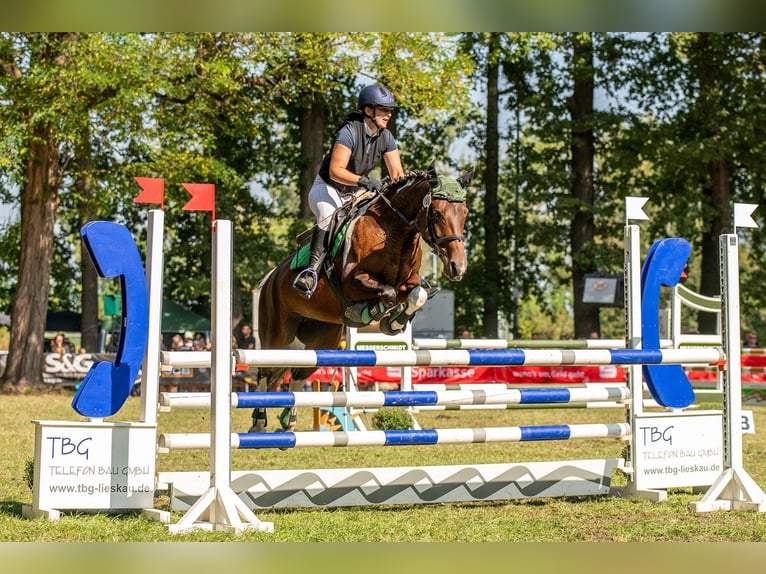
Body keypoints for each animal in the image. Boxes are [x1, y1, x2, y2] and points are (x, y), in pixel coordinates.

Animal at [249, 164, 474, 434]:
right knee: (264, 371)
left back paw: (288, 422)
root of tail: (270, 277)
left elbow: (417, 294)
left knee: (297, 374)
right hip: (277, 334)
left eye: (465, 213)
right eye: (438, 214)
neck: (394, 232)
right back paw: (259, 422)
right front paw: (369, 313)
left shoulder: (408, 283)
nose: (458, 267)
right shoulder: (352, 281)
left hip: (321, 340)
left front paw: (394, 322)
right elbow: (387, 294)